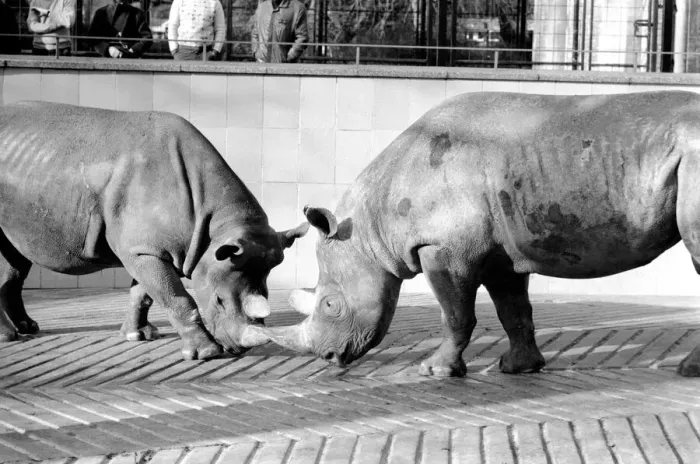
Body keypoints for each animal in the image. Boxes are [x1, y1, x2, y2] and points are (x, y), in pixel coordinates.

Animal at [0, 101, 307, 360]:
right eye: (218, 300)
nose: (239, 349)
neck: (214, 231)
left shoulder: (157, 248)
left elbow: (144, 292)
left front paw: (137, 335)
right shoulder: (146, 250)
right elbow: (176, 297)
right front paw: (206, 353)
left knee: (15, 260)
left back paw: (27, 327)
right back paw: (8, 337)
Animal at [262, 90, 700, 378]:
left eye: (331, 305)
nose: (328, 357)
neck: (371, 229)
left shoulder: (444, 249)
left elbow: (456, 314)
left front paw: (435, 371)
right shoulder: (500, 254)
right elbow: (514, 311)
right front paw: (519, 369)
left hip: (692, 155)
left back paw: (687, 371)